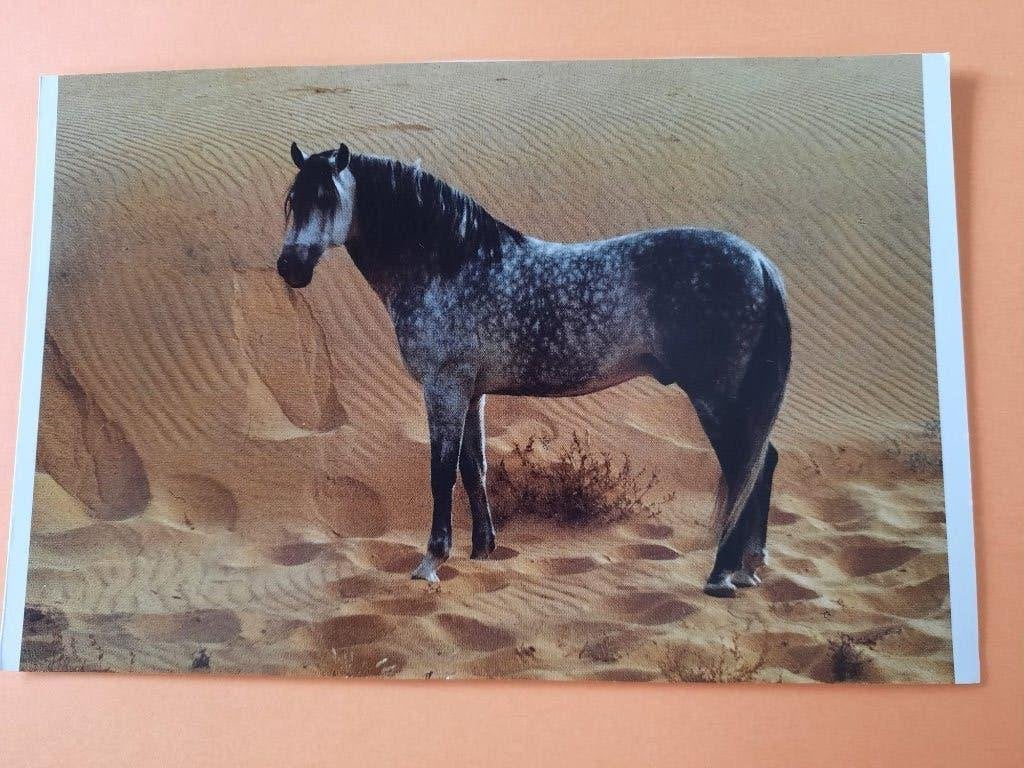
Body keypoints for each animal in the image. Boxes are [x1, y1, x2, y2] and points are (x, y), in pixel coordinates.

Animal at [276, 143, 791, 597]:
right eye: (293, 201)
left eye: (326, 199)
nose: (289, 267)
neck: (449, 264)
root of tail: (760, 264)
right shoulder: (472, 391)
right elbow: (474, 467)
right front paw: (483, 550)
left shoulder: (444, 386)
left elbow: (441, 472)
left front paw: (431, 561)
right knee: (763, 462)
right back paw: (749, 567)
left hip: (716, 398)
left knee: (745, 466)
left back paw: (722, 575)